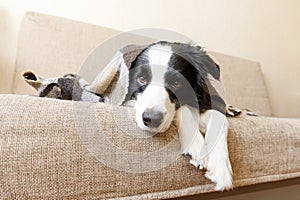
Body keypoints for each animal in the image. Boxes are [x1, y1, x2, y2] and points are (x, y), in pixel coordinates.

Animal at [123, 41, 233, 191]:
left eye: (176, 83)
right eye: (141, 79)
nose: (152, 119)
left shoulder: (213, 101)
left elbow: (220, 118)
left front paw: (221, 169)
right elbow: (184, 108)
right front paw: (196, 145)